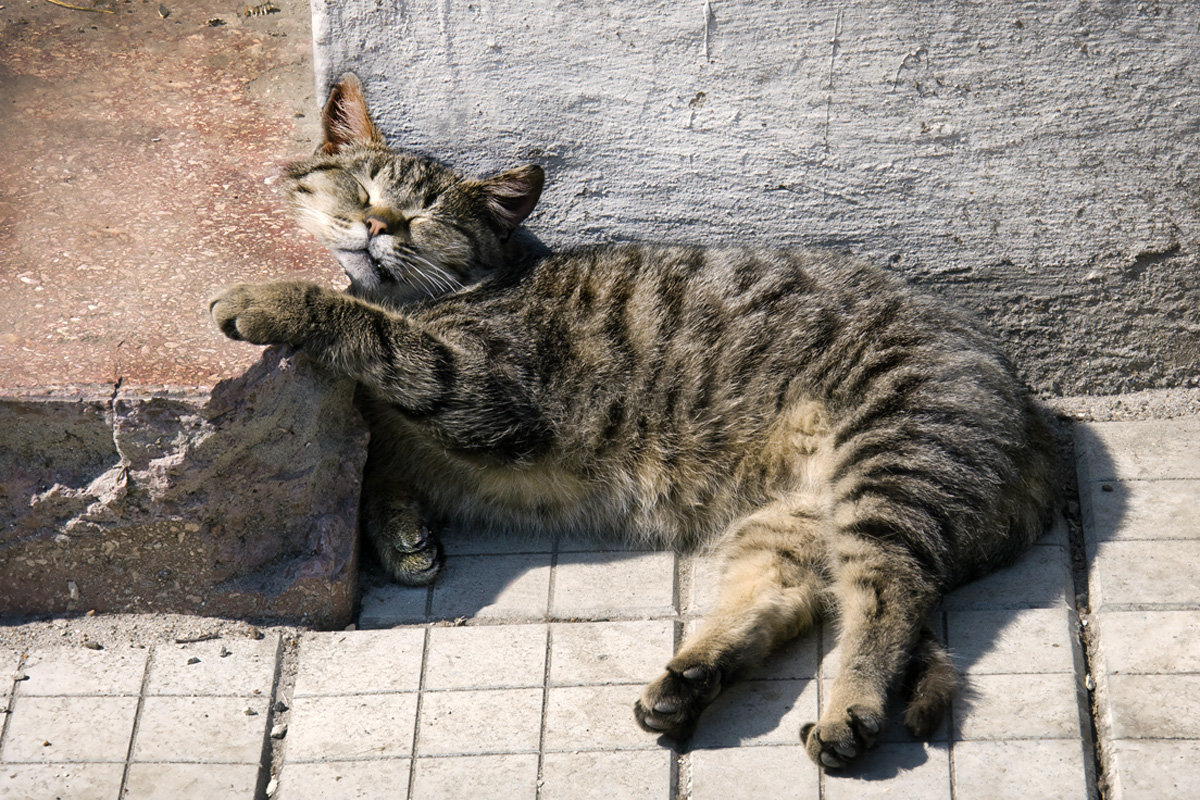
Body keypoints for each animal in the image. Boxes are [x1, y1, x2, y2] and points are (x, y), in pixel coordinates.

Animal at [208, 76, 1060, 767]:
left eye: (423, 217)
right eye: (361, 190)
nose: (379, 227)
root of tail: (1036, 416)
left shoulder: (484, 390)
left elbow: (363, 329)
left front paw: (273, 299)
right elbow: (380, 452)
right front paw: (401, 528)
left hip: (888, 470)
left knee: (889, 597)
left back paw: (850, 708)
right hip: (795, 518)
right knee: (786, 595)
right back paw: (691, 678)